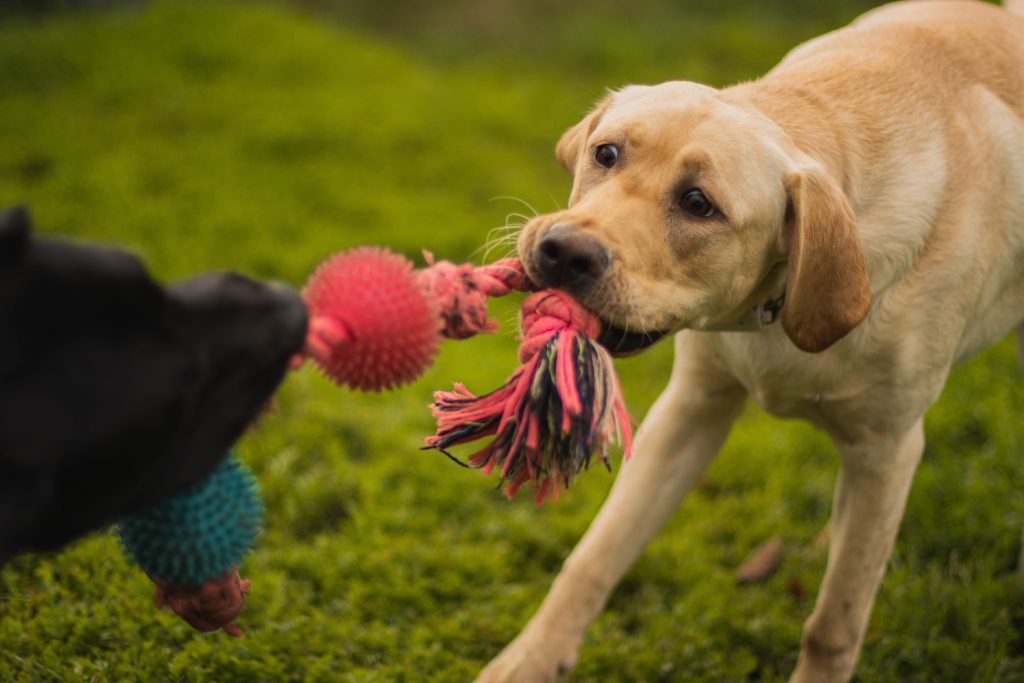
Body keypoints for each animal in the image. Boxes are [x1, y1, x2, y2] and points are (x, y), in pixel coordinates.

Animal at [477, 1, 1024, 683]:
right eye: (605, 154)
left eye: (698, 203)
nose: (563, 252)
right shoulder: (691, 407)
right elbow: (597, 552)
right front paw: (529, 660)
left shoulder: (890, 444)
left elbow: (834, 621)